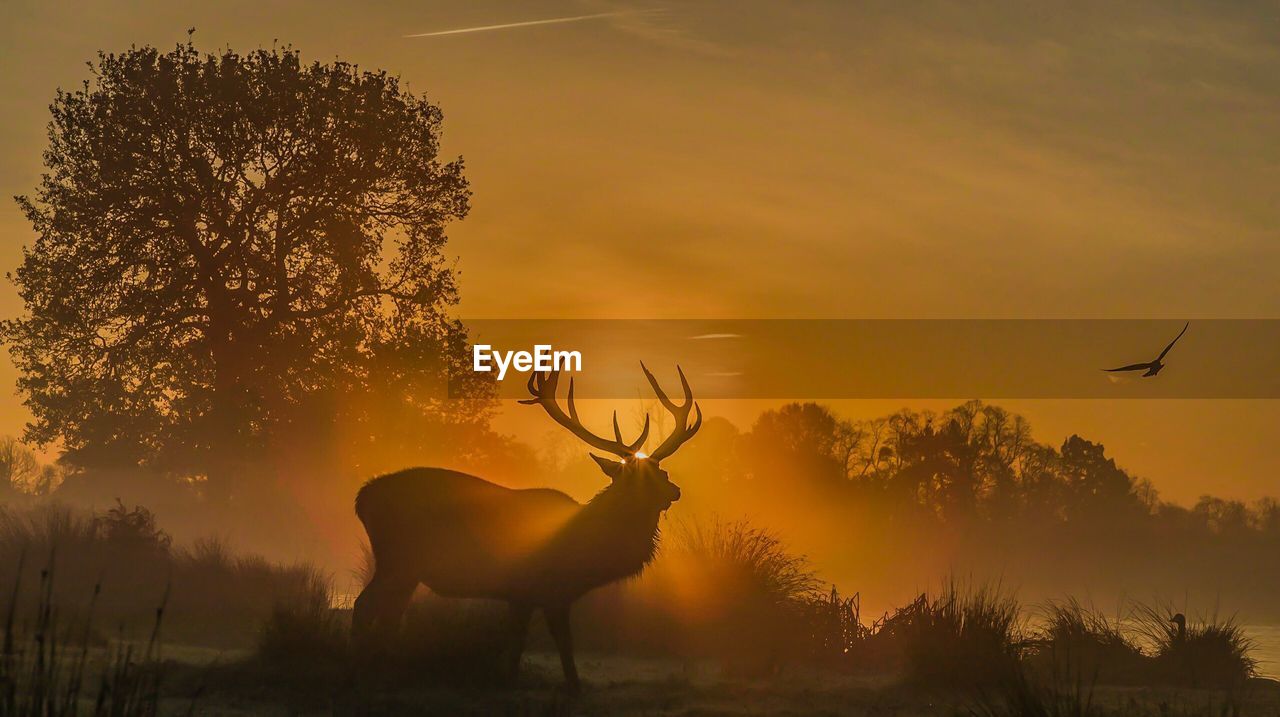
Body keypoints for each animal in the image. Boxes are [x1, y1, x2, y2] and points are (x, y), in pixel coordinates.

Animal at [353, 366, 701, 691]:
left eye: (662, 470)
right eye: (638, 477)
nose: (676, 491)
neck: (585, 554)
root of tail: (362, 498)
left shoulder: (523, 594)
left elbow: (519, 643)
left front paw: (514, 680)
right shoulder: (544, 588)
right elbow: (557, 643)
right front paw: (571, 687)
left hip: (406, 570)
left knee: (387, 616)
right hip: (398, 561)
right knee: (364, 607)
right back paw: (361, 672)